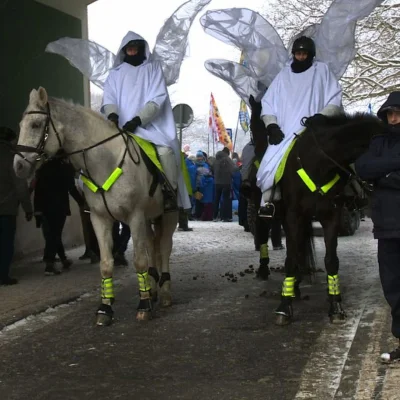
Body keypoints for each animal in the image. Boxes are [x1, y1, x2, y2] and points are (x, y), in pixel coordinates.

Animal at [14, 87, 178, 324]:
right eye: (20, 125)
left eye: (36, 124)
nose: (18, 166)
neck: (104, 162)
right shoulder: (100, 219)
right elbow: (106, 264)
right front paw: (105, 308)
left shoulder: (135, 216)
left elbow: (139, 261)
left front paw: (143, 306)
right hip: (148, 219)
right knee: (151, 245)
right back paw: (154, 290)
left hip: (168, 215)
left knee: (164, 248)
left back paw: (164, 293)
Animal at [250, 101, 384, 324]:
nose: (257, 147)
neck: (319, 164)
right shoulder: (293, 216)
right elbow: (290, 257)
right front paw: (284, 306)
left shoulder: (331, 216)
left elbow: (331, 260)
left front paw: (336, 306)